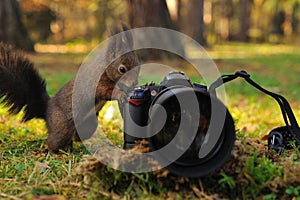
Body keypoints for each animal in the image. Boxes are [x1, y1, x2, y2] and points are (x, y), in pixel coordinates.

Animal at [0, 25, 140, 153]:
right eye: (122, 69)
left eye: (138, 65)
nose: (135, 83)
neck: (105, 69)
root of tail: (46, 109)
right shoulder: (97, 84)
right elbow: (106, 92)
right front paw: (121, 94)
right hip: (62, 126)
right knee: (54, 141)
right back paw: (55, 152)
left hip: (88, 125)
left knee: (74, 137)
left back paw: (70, 148)